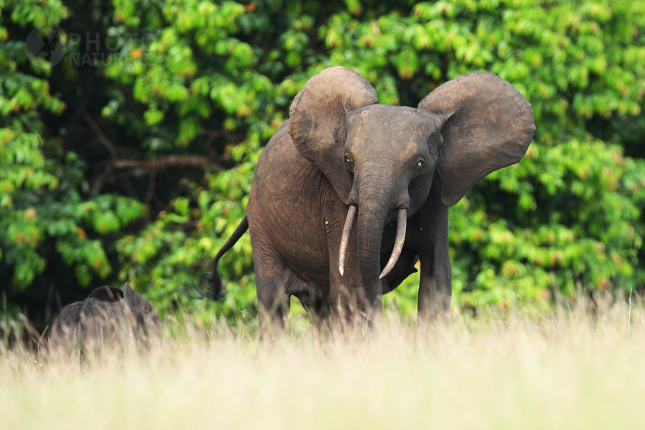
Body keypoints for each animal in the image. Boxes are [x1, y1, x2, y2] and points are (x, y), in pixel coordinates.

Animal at [205, 66, 532, 330]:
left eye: (420, 164)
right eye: (348, 160)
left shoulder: (437, 195)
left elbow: (437, 280)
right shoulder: (337, 197)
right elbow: (352, 284)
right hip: (262, 226)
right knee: (275, 305)